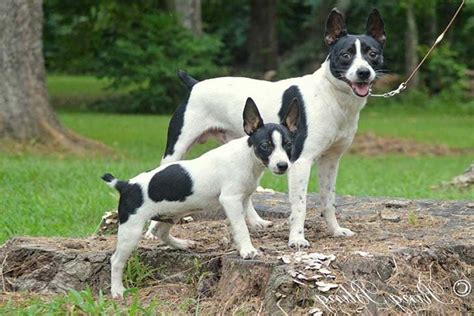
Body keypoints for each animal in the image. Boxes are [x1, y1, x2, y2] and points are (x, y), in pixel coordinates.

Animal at [102, 97, 298, 298]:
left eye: (288, 145)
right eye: (265, 146)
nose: (283, 165)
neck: (248, 156)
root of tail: (126, 184)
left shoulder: (244, 196)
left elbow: (249, 211)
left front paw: (258, 223)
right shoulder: (230, 200)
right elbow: (241, 227)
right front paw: (247, 250)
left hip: (170, 215)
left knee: (159, 232)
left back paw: (182, 244)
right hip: (131, 230)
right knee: (116, 260)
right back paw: (117, 290)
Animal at [146, 8, 386, 248]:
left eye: (372, 54)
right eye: (345, 55)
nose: (364, 72)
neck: (330, 94)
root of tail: (195, 85)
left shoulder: (331, 161)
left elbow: (329, 200)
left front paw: (335, 230)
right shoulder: (300, 162)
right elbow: (300, 206)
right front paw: (297, 238)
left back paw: (255, 221)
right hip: (176, 149)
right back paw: (150, 231)